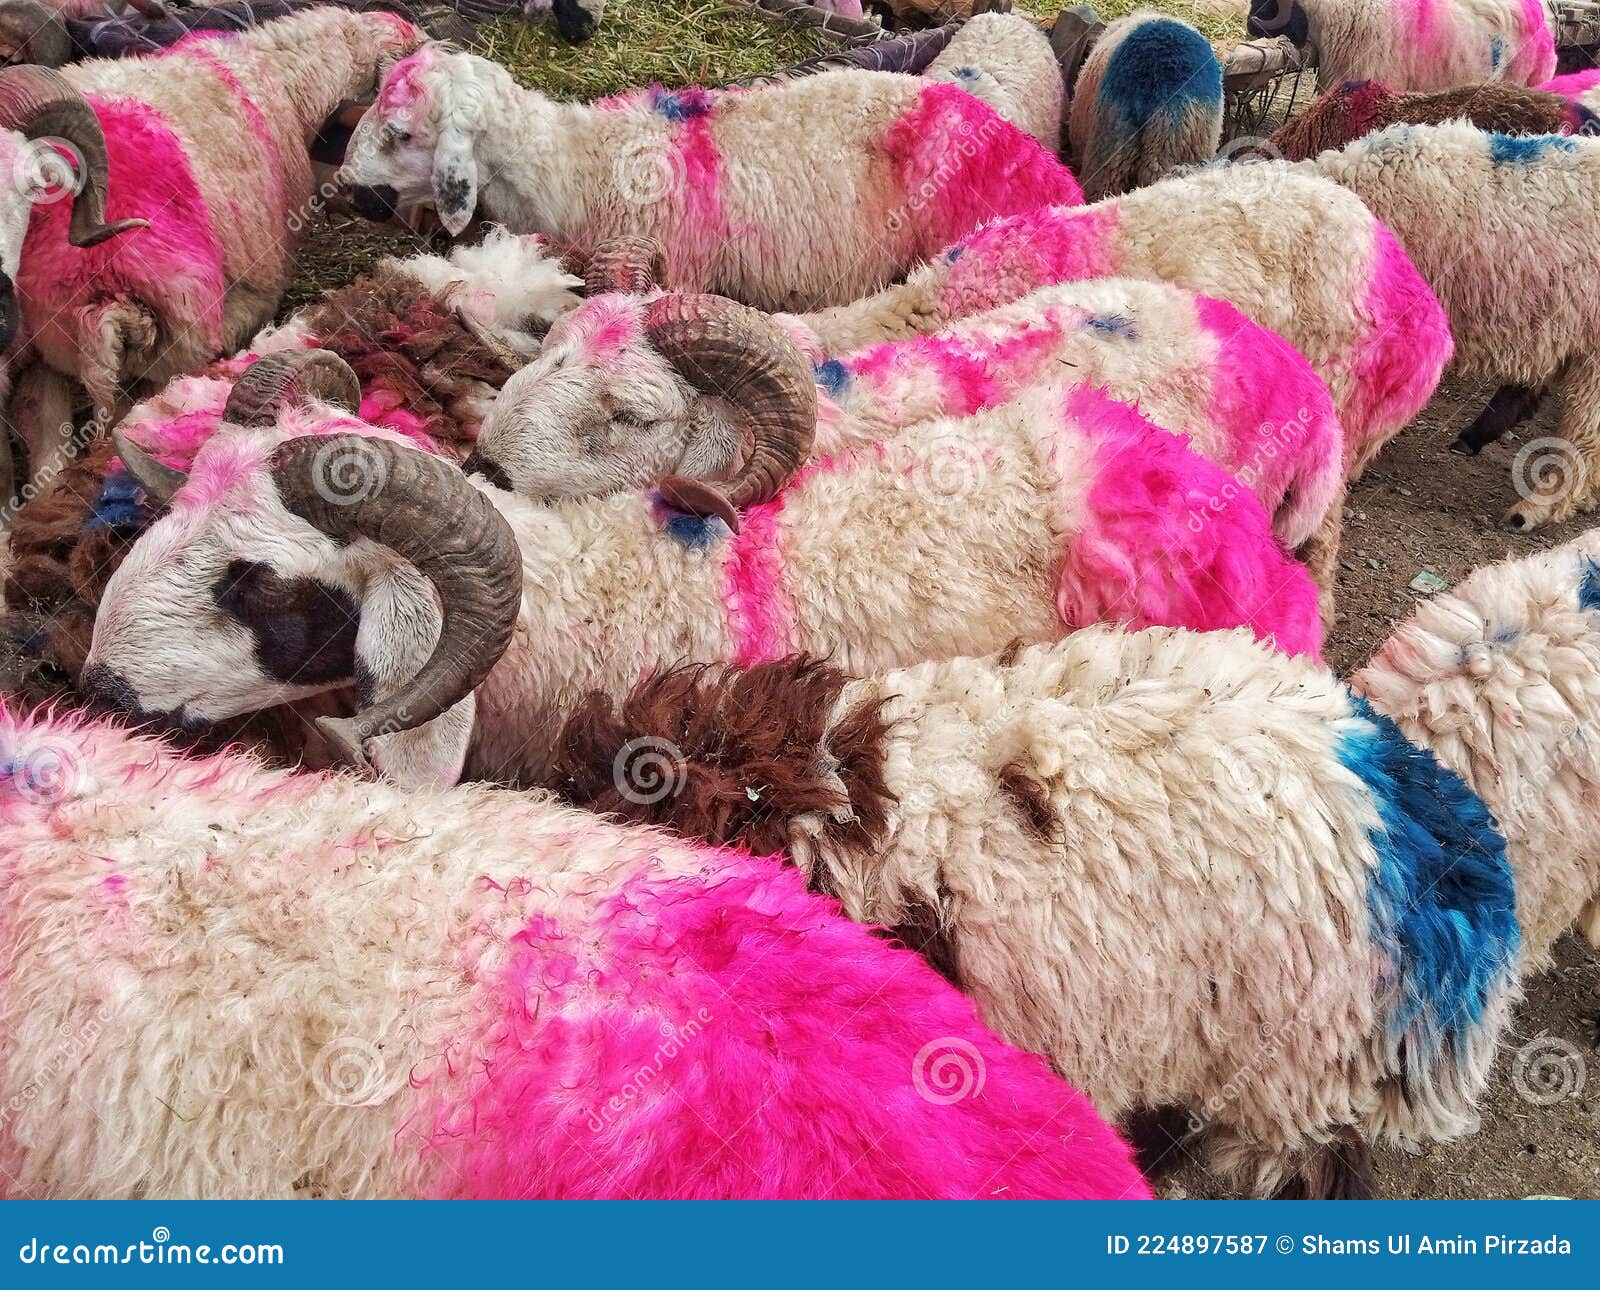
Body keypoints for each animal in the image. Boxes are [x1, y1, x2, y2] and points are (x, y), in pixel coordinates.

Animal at [2, 6, 423, 501]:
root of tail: (102, 290)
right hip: (180, 341)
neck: (284, 82)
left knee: (46, 438)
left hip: (45, 342)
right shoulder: (254, 296)